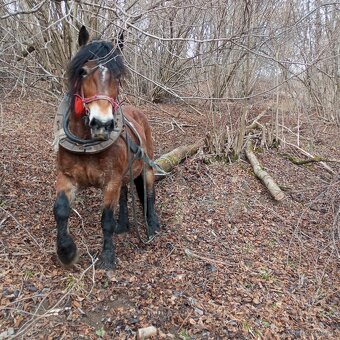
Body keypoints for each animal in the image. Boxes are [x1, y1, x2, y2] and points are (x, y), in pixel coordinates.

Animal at [53, 26, 159, 270]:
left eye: (118, 77)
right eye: (83, 71)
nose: (102, 123)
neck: (87, 143)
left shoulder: (111, 181)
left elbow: (106, 220)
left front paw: (108, 257)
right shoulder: (66, 176)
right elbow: (61, 211)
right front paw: (67, 252)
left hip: (146, 168)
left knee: (149, 194)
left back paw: (151, 226)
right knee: (125, 195)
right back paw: (124, 225)